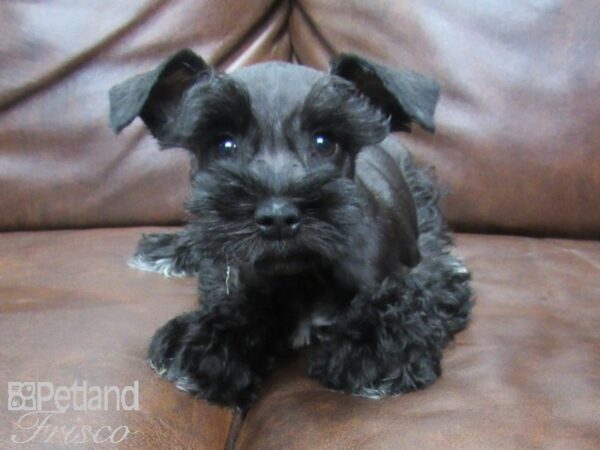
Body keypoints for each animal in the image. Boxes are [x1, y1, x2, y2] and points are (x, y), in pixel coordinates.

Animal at [109, 49, 474, 412]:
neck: (306, 276)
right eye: (223, 145)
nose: (277, 217)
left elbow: (401, 305)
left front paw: (371, 352)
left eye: (325, 142)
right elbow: (244, 308)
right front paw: (208, 340)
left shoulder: (422, 278)